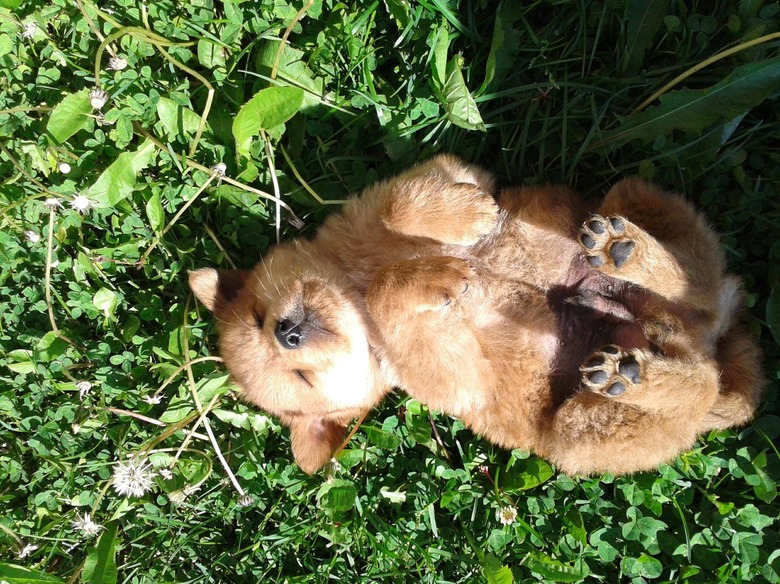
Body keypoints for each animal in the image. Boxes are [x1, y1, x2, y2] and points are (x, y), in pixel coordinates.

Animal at [190, 157, 760, 476]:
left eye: (258, 316)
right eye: (302, 379)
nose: (286, 332)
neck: (355, 276)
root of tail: (712, 337)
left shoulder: (438, 173)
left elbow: (403, 204)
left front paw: (468, 220)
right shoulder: (455, 368)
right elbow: (389, 296)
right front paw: (440, 275)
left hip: (628, 196)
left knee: (692, 289)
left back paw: (627, 251)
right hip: (577, 428)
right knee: (699, 382)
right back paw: (629, 368)